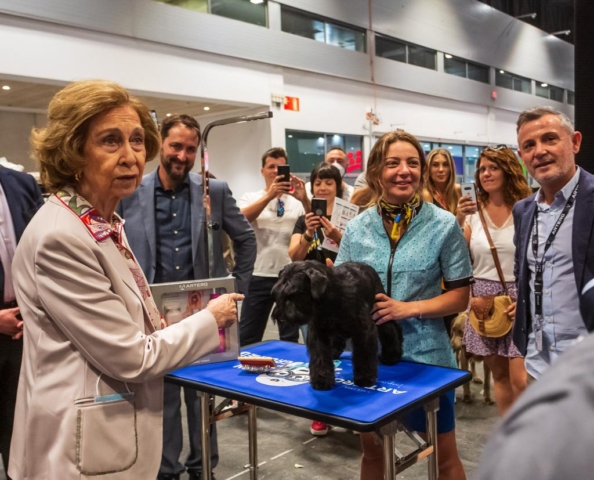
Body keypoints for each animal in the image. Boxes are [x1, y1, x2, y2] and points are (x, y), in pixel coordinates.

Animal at [272, 258, 402, 390]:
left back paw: (391, 356)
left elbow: (364, 355)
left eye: (294, 293)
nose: (280, 318)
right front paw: (322, 379)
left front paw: (365, 378)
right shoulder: (319, 332)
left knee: (390, 330)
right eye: (276, 292)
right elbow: (320, 356)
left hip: (380, 311)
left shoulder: (365, 331)